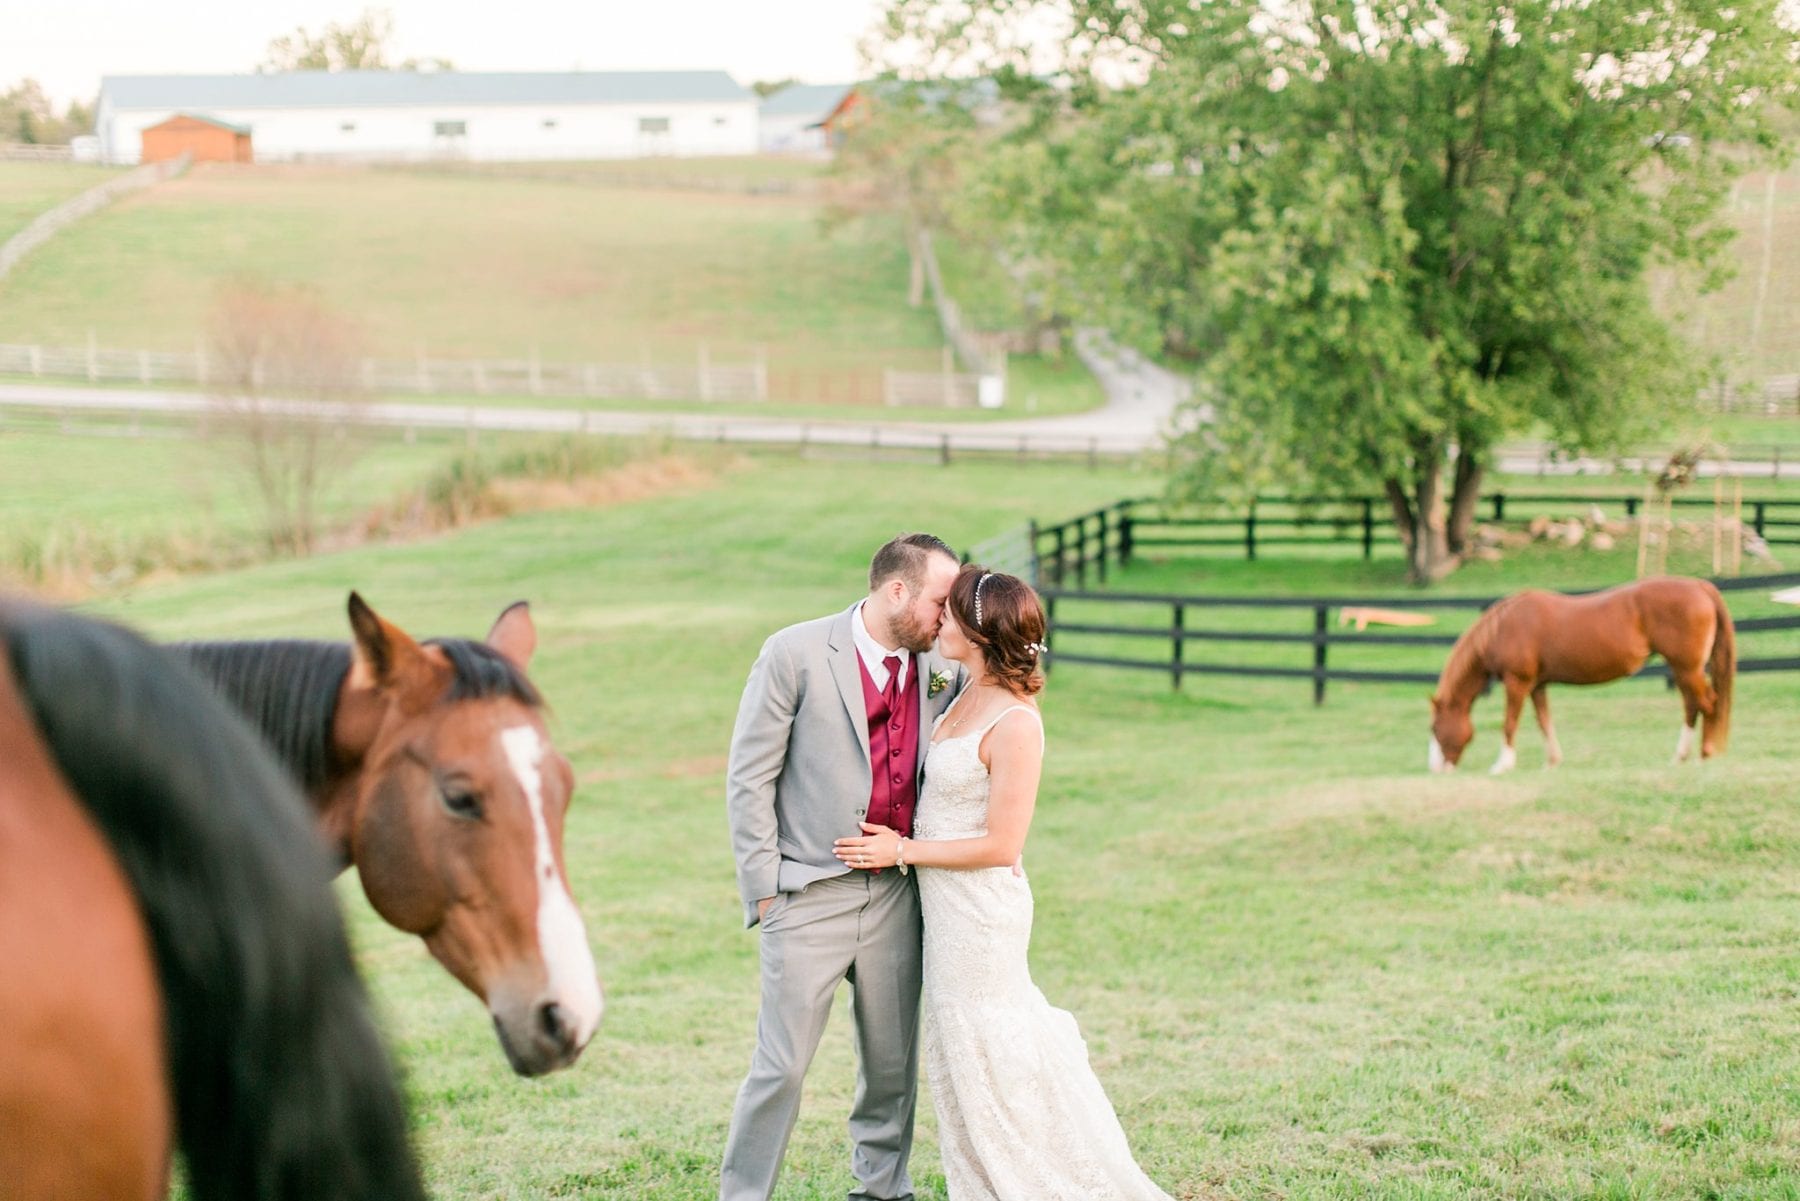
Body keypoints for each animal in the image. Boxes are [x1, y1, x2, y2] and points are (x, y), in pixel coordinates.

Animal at [1425, 576, 1735, 774]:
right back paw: (1680, 757)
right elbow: (1544, 722)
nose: (1436, 769)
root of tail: (1699, 586)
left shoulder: (1517, 683)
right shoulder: (1537, 686)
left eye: (1434, 728)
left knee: (1707, 704)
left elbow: (1510, 723)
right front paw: (1552, 762)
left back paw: (1704, 756)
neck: (1502, 627)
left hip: (1687, 669)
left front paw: (1502, 765)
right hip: (1684, 671)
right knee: (1693, 706)